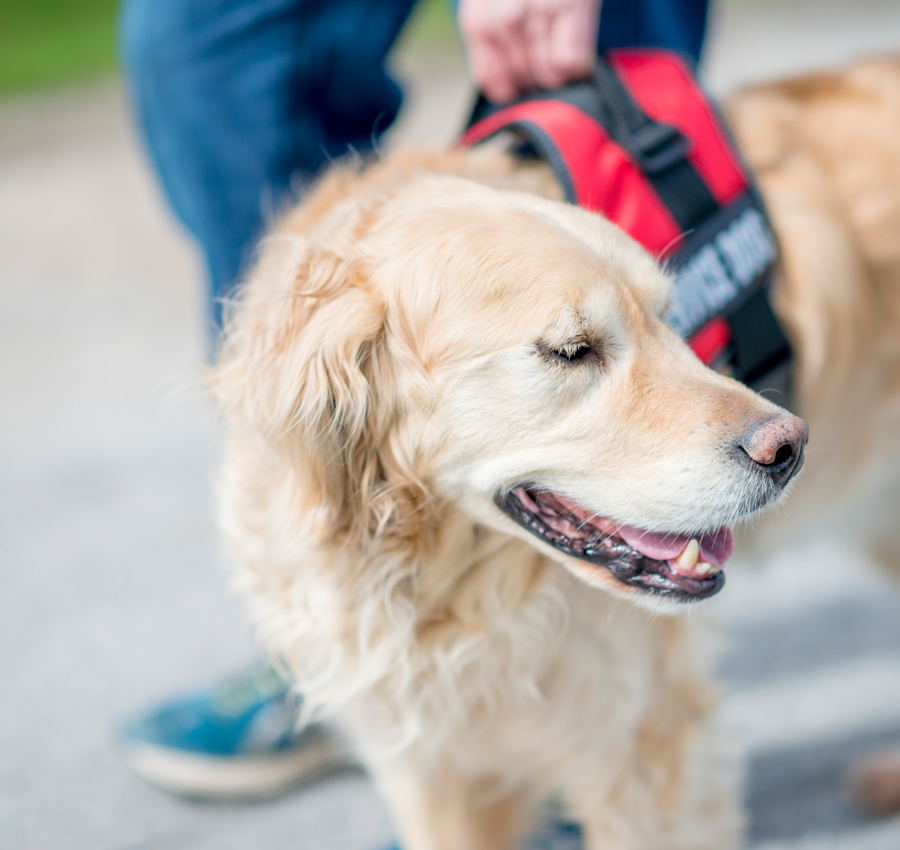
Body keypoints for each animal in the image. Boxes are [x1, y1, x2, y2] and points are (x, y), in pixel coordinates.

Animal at [213, 56, 900, 844]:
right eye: (571, 350)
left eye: (669, 318)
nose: (789, 447)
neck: (448, 587)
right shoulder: (424, 764)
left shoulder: (642, 743)